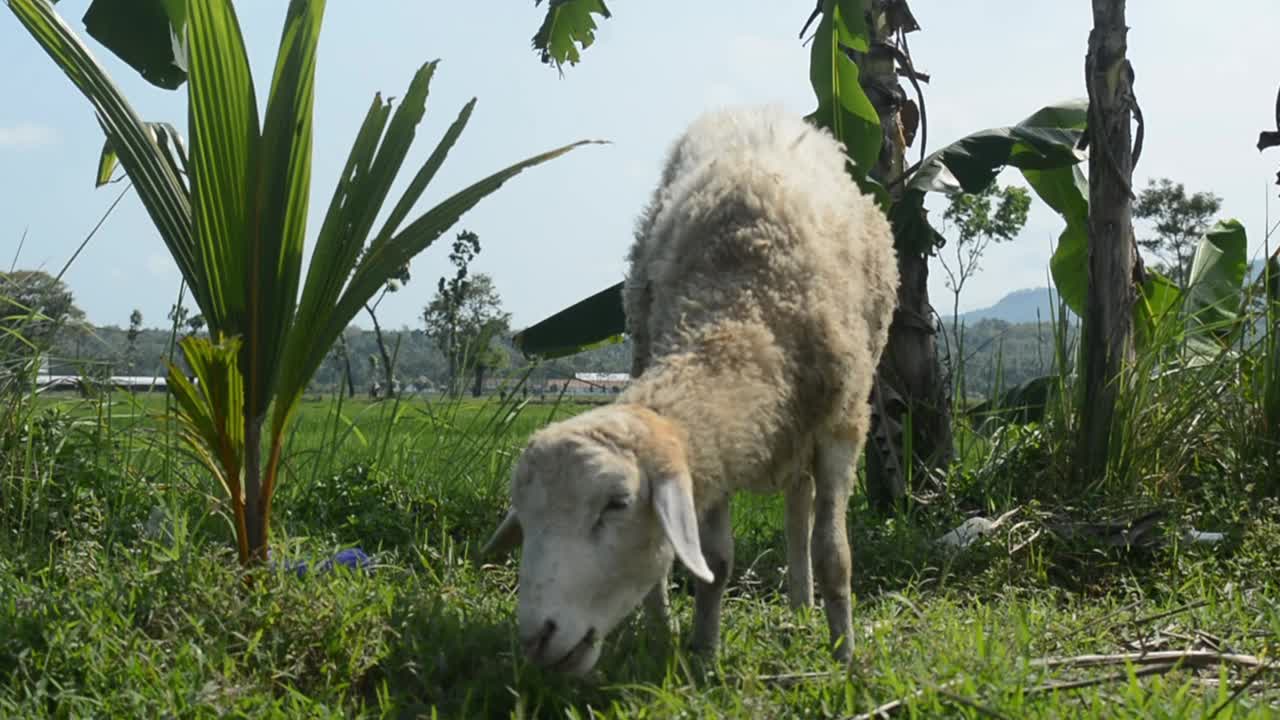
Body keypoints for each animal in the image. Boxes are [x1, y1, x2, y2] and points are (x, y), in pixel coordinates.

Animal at [481, 105, 901, 671]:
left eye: (616, 504)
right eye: (525, 517)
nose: (536, 637)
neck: (744, 312)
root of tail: (752, 109)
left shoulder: (844, 425)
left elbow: (834, 552)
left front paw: (845, 656)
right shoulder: (715, 450)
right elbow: (716, 560)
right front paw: (703, 650)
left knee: (800, 510)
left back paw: (802, 607)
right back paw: (667, 623)